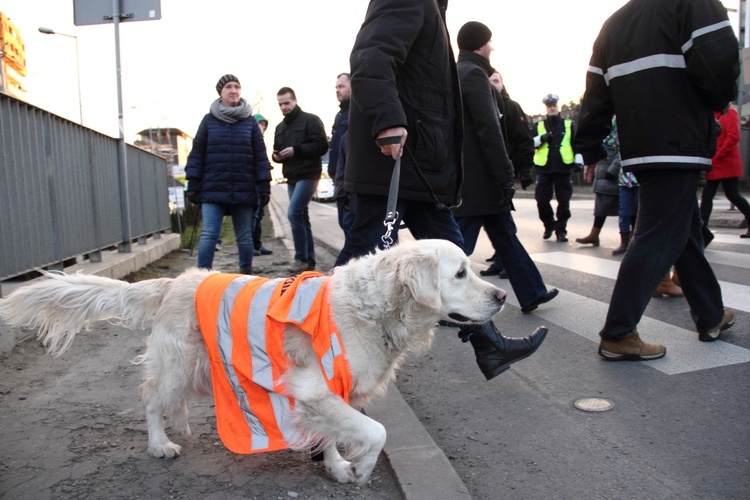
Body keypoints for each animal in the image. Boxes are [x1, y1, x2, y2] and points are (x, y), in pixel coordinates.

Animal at [0, 238, 508, 484]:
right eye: (460, 273)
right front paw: (361, 467)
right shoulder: (314, 388)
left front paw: (336, 467)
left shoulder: (330, 392)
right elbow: (376, 430)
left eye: (472, 268)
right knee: (150, 401)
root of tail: (175, 281)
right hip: (177, 364)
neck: (376, 307)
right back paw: (160, 443)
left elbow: (334, 433)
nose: (502, 297)